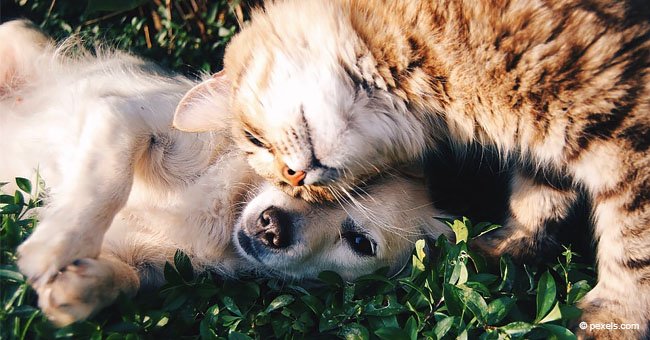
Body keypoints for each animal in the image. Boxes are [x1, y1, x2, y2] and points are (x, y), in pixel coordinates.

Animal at [172, 0, 648, 338]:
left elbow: (632, 244)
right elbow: (539, 197)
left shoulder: (624, 124)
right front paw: (505, 247)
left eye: (254, 141)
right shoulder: (548, 143)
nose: (296, 179)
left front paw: (614, 318)